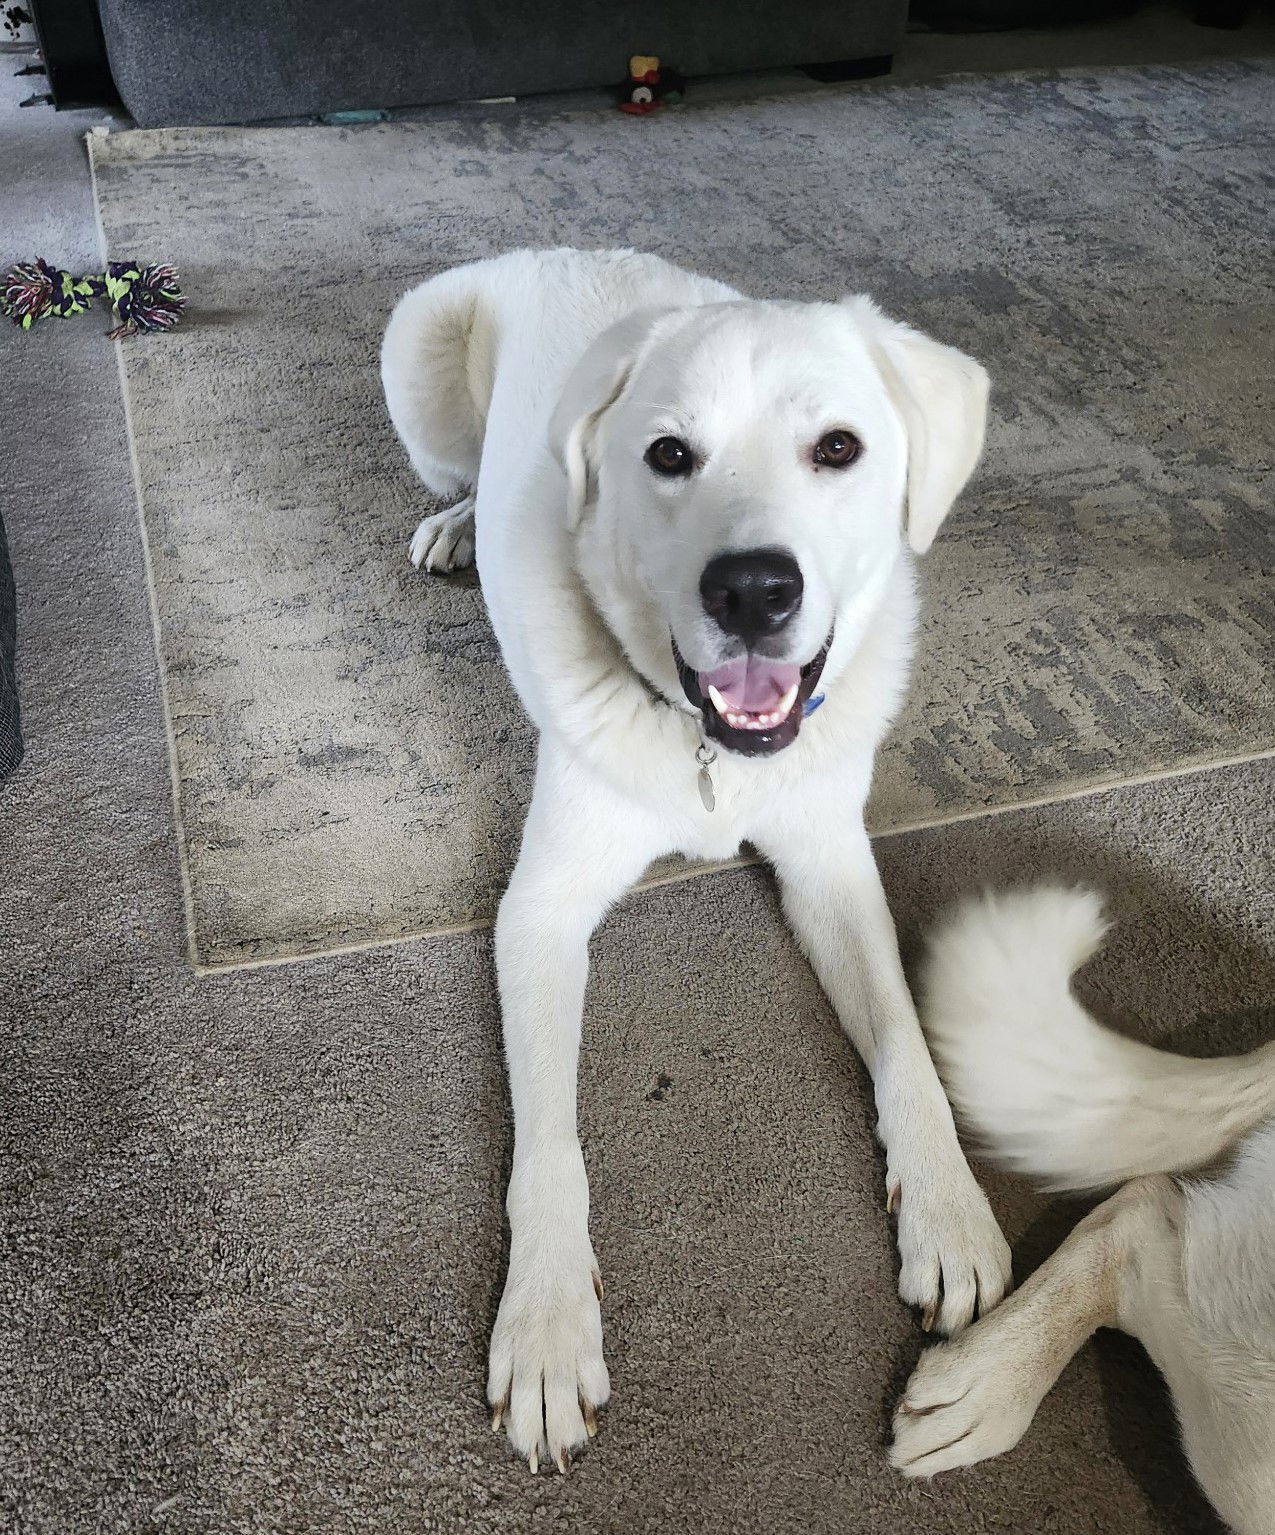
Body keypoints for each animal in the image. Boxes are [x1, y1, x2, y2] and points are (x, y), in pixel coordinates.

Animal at [378, 251, 1006, 1473]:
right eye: (669, 454)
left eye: (839, 447)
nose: (753, 590)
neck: (715, 753)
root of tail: (554, 245)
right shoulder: (539, 913)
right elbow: (551, 1141)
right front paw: (546, 1324)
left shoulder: (830, 862)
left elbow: (905, 1036)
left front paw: (948, 1208)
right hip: (417, 349)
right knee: (459, 467)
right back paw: (456, 523)